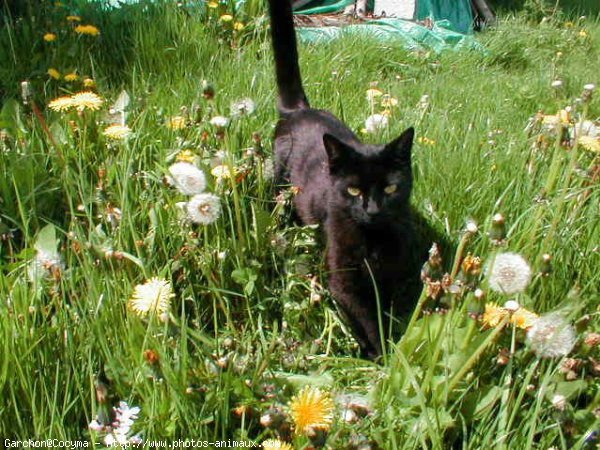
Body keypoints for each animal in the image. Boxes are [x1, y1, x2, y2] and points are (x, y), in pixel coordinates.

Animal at [268, 0, 414, 358]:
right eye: (353, 189)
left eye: (391, 187)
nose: (372, 210)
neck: (373, 240)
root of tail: (298, 110)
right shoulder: (343, 280)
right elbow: (368, 318)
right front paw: (382, 355)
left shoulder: (389, 275)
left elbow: (386, 309)